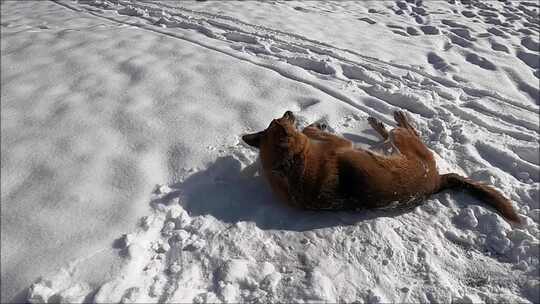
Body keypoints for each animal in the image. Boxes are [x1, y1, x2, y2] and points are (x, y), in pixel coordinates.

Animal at [243, 110, 520, 224]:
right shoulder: (340, 143)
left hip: (398, 144)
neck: (288, 166)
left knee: (395, 134)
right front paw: (313, 126)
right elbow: (310, 132)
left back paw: (383, 122)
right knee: (407, 130)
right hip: (405, 141)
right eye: (282, 120)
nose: (290, 111)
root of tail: (436, 181)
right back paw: (391, 119)